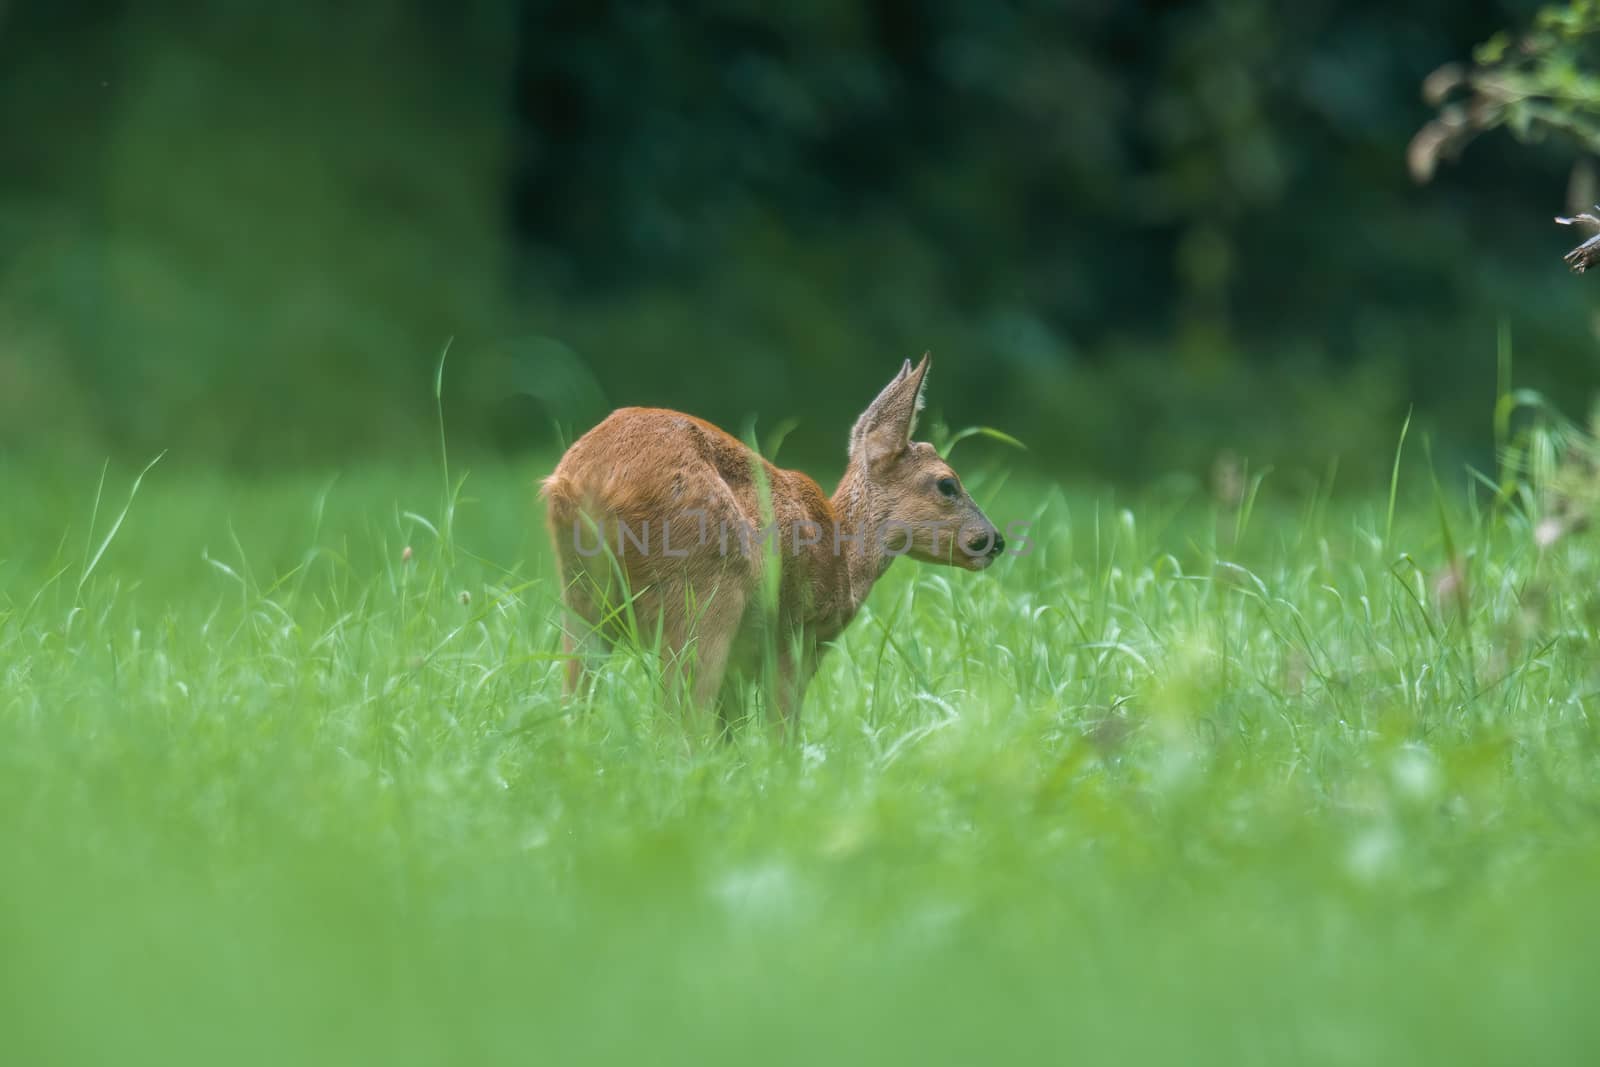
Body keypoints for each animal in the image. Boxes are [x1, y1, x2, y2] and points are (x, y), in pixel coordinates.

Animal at [544, 356, 1004, 726]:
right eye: (947, 484)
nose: (994, 540)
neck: (846, 559)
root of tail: (589, 479)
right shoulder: (794, 637)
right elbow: (780, 727)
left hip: (582, 595)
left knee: (577, 702)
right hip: (704, 593)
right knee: (677, 718)